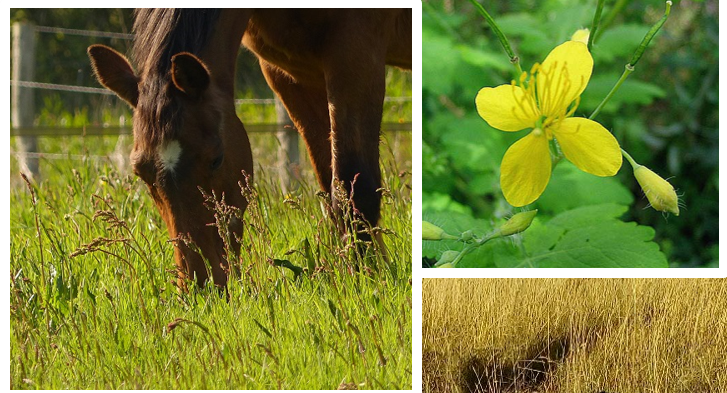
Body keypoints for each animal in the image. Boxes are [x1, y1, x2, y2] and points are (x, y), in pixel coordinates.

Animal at [86, 7, 410, 286]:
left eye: (216, 159)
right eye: (141, 172)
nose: (201, 284)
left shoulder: (355, 54)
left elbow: (356, 189)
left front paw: (371, 279)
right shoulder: (292, 73)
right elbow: (333, 190)